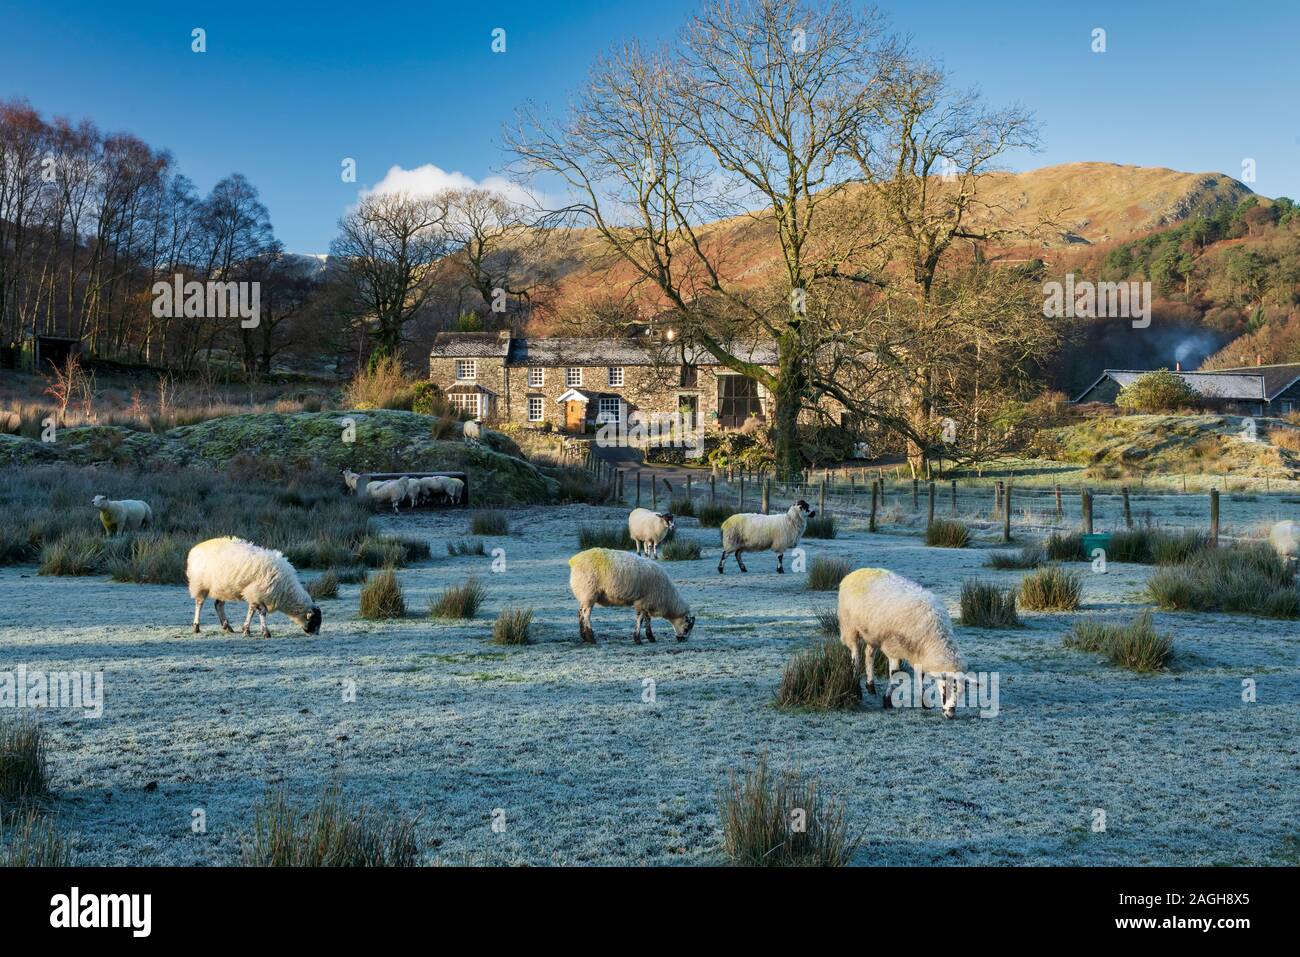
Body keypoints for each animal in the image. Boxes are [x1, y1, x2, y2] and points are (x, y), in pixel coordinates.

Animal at [187, 535, 321, 639]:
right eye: (314, 621)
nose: (316, 635)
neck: (286, 590)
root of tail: (195, 548)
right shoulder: (258, 592)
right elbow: (261, 612)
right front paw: (265, 633)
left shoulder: (253, 593)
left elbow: (251, 611)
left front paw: (246, 629)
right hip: (200, 584)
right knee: (199, 603)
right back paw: (196, 626)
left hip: (222, 586)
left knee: (218, 605)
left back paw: (227, 627)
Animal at [566, 546, 696, 642]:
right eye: (687, 628)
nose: (683, 640)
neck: (668, 598)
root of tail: (574, 560)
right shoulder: (644, 601)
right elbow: (640, 619)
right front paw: (638, 639)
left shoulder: (647, 602)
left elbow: (647, 619)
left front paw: (651, 637)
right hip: (589, 592)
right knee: (586, 614)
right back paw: (591, 638)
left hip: (584, 594)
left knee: (580, 612)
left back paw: (584, 636)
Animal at [842, 566, 967, 717]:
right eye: (945, 687)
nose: (950, 715)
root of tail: (857, 571)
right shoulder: (893, 647)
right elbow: (895, 674)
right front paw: (887, 700)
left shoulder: (919, 653)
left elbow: (921, 676)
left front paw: (924, 702)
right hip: (850, 627)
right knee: (856, 657)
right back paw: (857, 689)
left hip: (872, 632)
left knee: (869, 654)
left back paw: (870, 685)